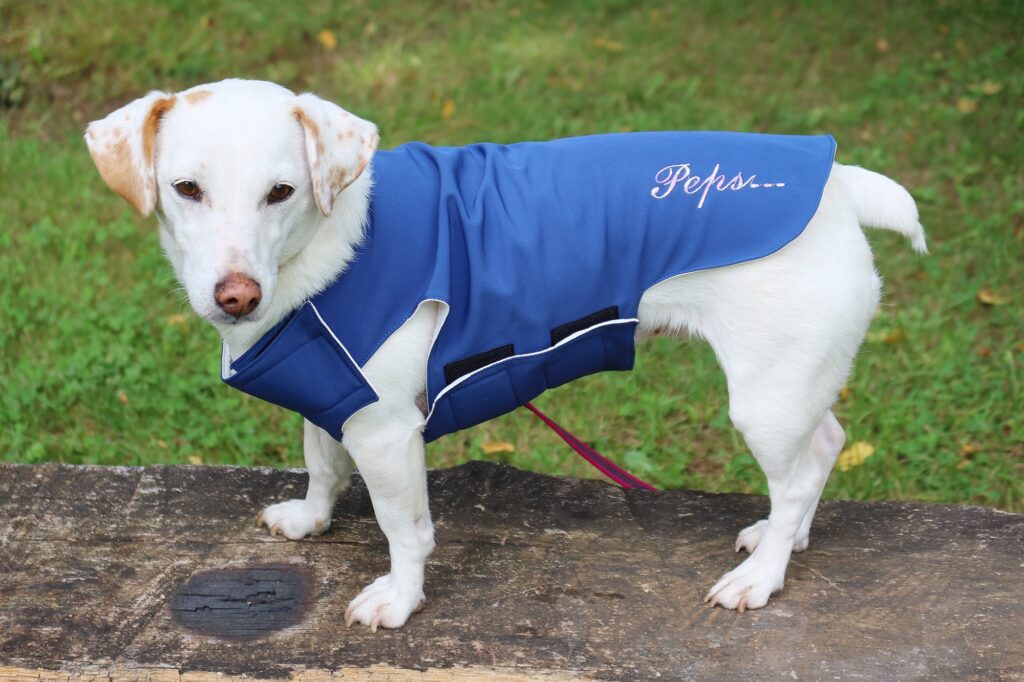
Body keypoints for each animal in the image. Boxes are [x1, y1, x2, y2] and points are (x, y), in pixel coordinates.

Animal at [86, 78, 929, 626]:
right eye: (186, 189)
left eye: (281, 192)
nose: (236, 295)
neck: (328, 255)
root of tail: (837, 182)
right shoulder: (334, 395)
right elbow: (320, 462)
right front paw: (311, 519)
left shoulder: (386, 432)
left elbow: (404, 529)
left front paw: (400, 599)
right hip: (793, 393)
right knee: (827, 446)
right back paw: (786, 541)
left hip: (765, 399)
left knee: (799, 475)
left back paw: (762, 576)